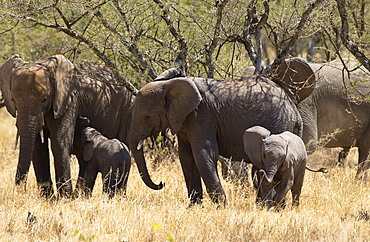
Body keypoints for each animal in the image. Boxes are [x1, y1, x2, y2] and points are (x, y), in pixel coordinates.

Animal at [0, 54, 136, 197]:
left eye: (45, 99)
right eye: (13, 99)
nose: (20, 191)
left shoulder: (68, 101)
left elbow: (60, 142)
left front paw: (64, 197)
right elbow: (38, 148)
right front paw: (48, 198)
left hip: (128, 108)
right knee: (84, 159)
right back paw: (79, 195)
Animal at [127, 60, 312, 206]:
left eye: (147, 117)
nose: (161, 183)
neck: (169, 85)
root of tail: (294, 112)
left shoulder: (201, 117)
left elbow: (204, 155)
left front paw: (222, 207)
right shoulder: (185, 121)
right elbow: (186, 158)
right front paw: (194, 208)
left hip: (278, 123)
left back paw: (272, 207)